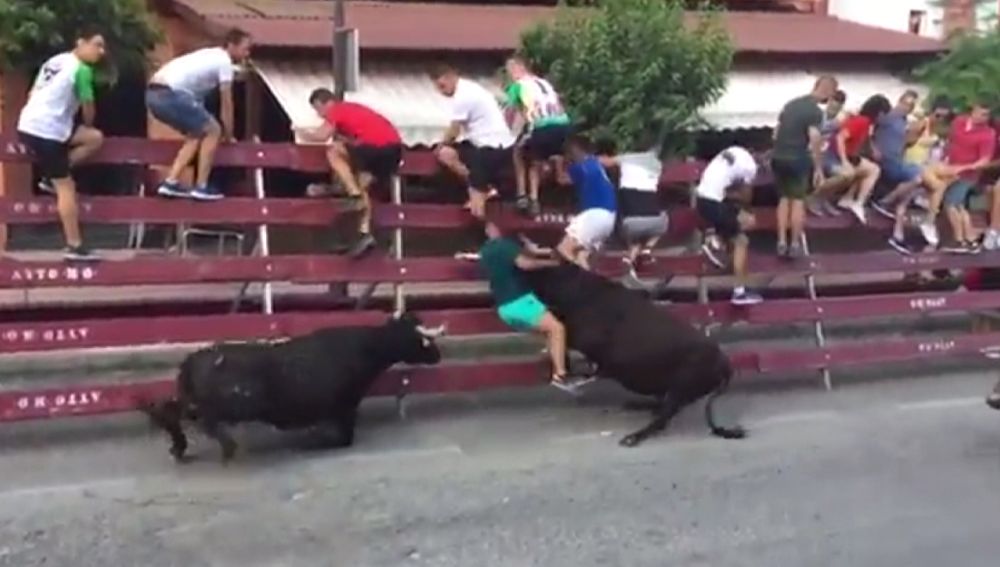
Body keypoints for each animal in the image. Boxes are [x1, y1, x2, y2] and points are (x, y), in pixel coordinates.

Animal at [139, 312, 444, 464]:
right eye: (422, 340)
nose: (438, 356)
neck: (366, 347)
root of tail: (194, 358)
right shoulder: (344, 407)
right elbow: (342, 438)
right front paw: (314, 439)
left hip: (194, 397)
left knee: (171, 410)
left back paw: (179, 446)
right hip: (230, 404)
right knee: (201, 419)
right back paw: (226, 446)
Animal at [520, 262, 748, 448]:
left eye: (544, 272)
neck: (584, 293)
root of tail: (725, 364)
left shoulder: (582, 336)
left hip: (682, 388)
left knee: (662, 418)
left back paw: (633, 437)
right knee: (659, 406)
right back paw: (636, 405)